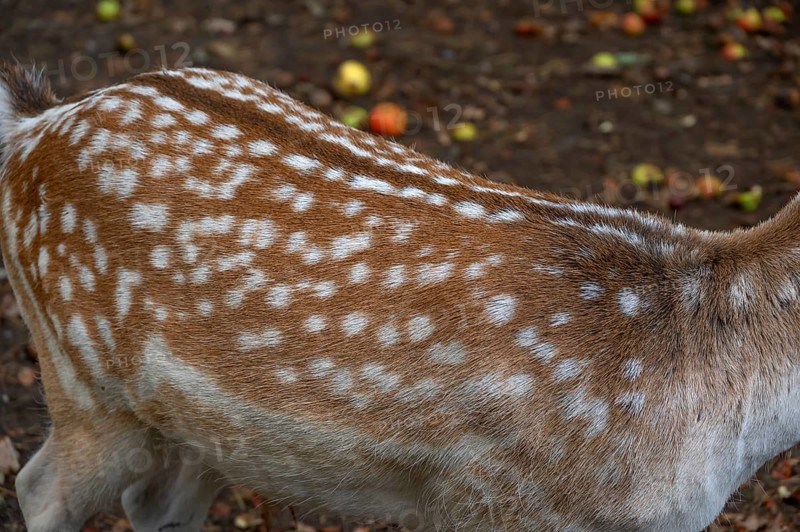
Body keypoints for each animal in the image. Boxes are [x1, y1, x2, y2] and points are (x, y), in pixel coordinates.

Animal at [1, 61, 798, 532]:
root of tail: (32, 125)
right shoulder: (505, 510)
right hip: (80, 376)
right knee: (40, 486)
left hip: (195, 422)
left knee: (154, 503)